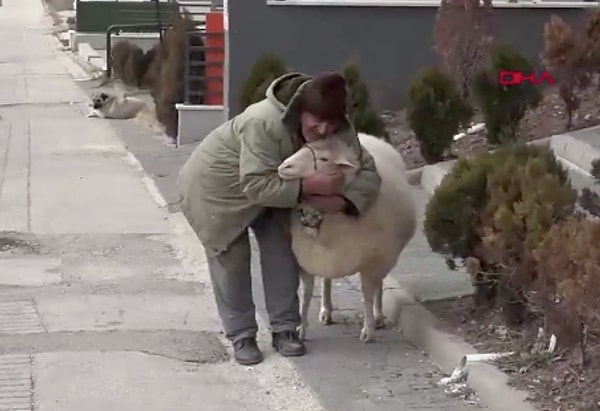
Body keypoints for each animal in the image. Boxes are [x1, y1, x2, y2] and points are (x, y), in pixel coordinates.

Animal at [278, 133, 414, 344]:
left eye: (324, 159)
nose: (284, 166)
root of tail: (369, 136)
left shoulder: (372, 261)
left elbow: (367, 294)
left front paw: (368, 329)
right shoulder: (304, 259)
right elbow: (306, 295)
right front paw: (301, 328)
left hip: (383, 257)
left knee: (379, 285)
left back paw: (378, 316)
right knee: (327, 280)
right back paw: (326, 310)